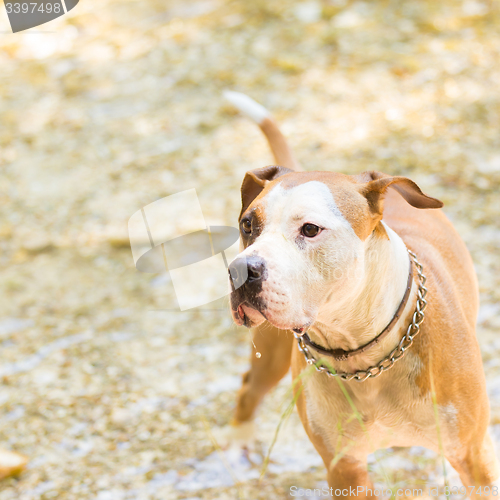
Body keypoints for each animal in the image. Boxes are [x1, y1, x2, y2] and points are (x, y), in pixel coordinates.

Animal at [224, 91, 500, 496]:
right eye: (247, 224)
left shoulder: (475, 458)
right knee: (248, 388)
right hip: (270, 352)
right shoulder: (345, 470)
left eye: (310, 229)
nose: (242, 270)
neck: (361, 354)